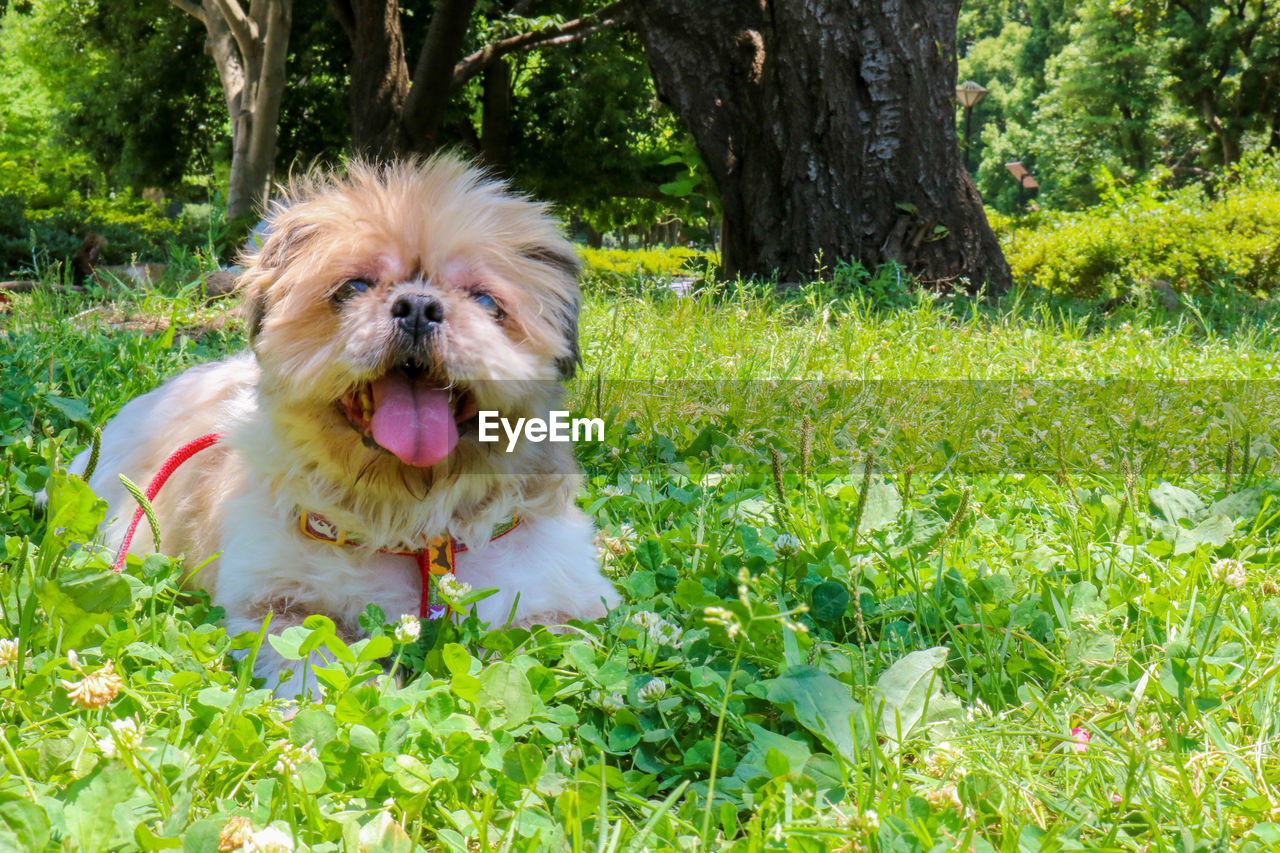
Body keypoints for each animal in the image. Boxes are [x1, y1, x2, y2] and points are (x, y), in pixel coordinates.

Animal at [70, 156, 619, 696]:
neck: (410, 522)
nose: (418, 306)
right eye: (354, 287)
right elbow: (321, 662)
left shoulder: (556, 599)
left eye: (485, 301)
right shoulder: (277, 605)